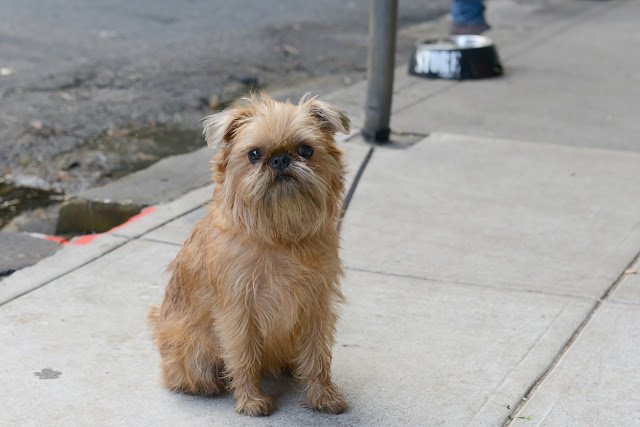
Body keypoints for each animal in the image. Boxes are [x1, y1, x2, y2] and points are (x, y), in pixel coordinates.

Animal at [148, 94, 350, 418]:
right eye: (255, 154)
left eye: (306, 149)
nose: (280, 159)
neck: (280, 236)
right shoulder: (238, 311)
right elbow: (244, 357)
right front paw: (251, 400)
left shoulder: (316, 305)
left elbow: (318, 355)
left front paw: (323, 395)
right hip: (194, 350)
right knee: (185, 373)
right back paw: (204, 385)